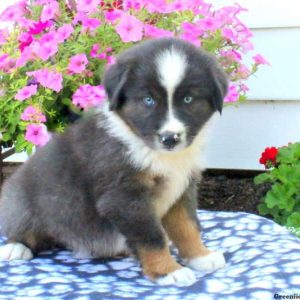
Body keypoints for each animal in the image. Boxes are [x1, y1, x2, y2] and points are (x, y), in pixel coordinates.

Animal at [0, 38, 227, 286]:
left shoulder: (182, 188)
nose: (170, 138)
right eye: (148, 100)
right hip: (23, 205)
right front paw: (169, 270)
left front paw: (200, 256)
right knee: (23, 230)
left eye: (188, 99)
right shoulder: (124, 197)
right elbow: (152, 237)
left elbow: (188, 225)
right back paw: (16, 247)